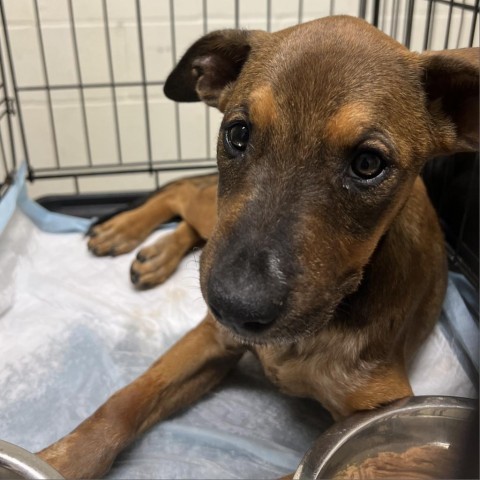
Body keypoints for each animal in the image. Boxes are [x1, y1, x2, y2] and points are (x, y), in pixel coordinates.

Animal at [39, 15, 478, 480]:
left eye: (368, 164)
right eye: (237, 133)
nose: (235, 306)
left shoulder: (379, 402)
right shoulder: (211, 338)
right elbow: (124, 403)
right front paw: (57, 460)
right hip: (216, 217)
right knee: (182, 192)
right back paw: (126, 233)